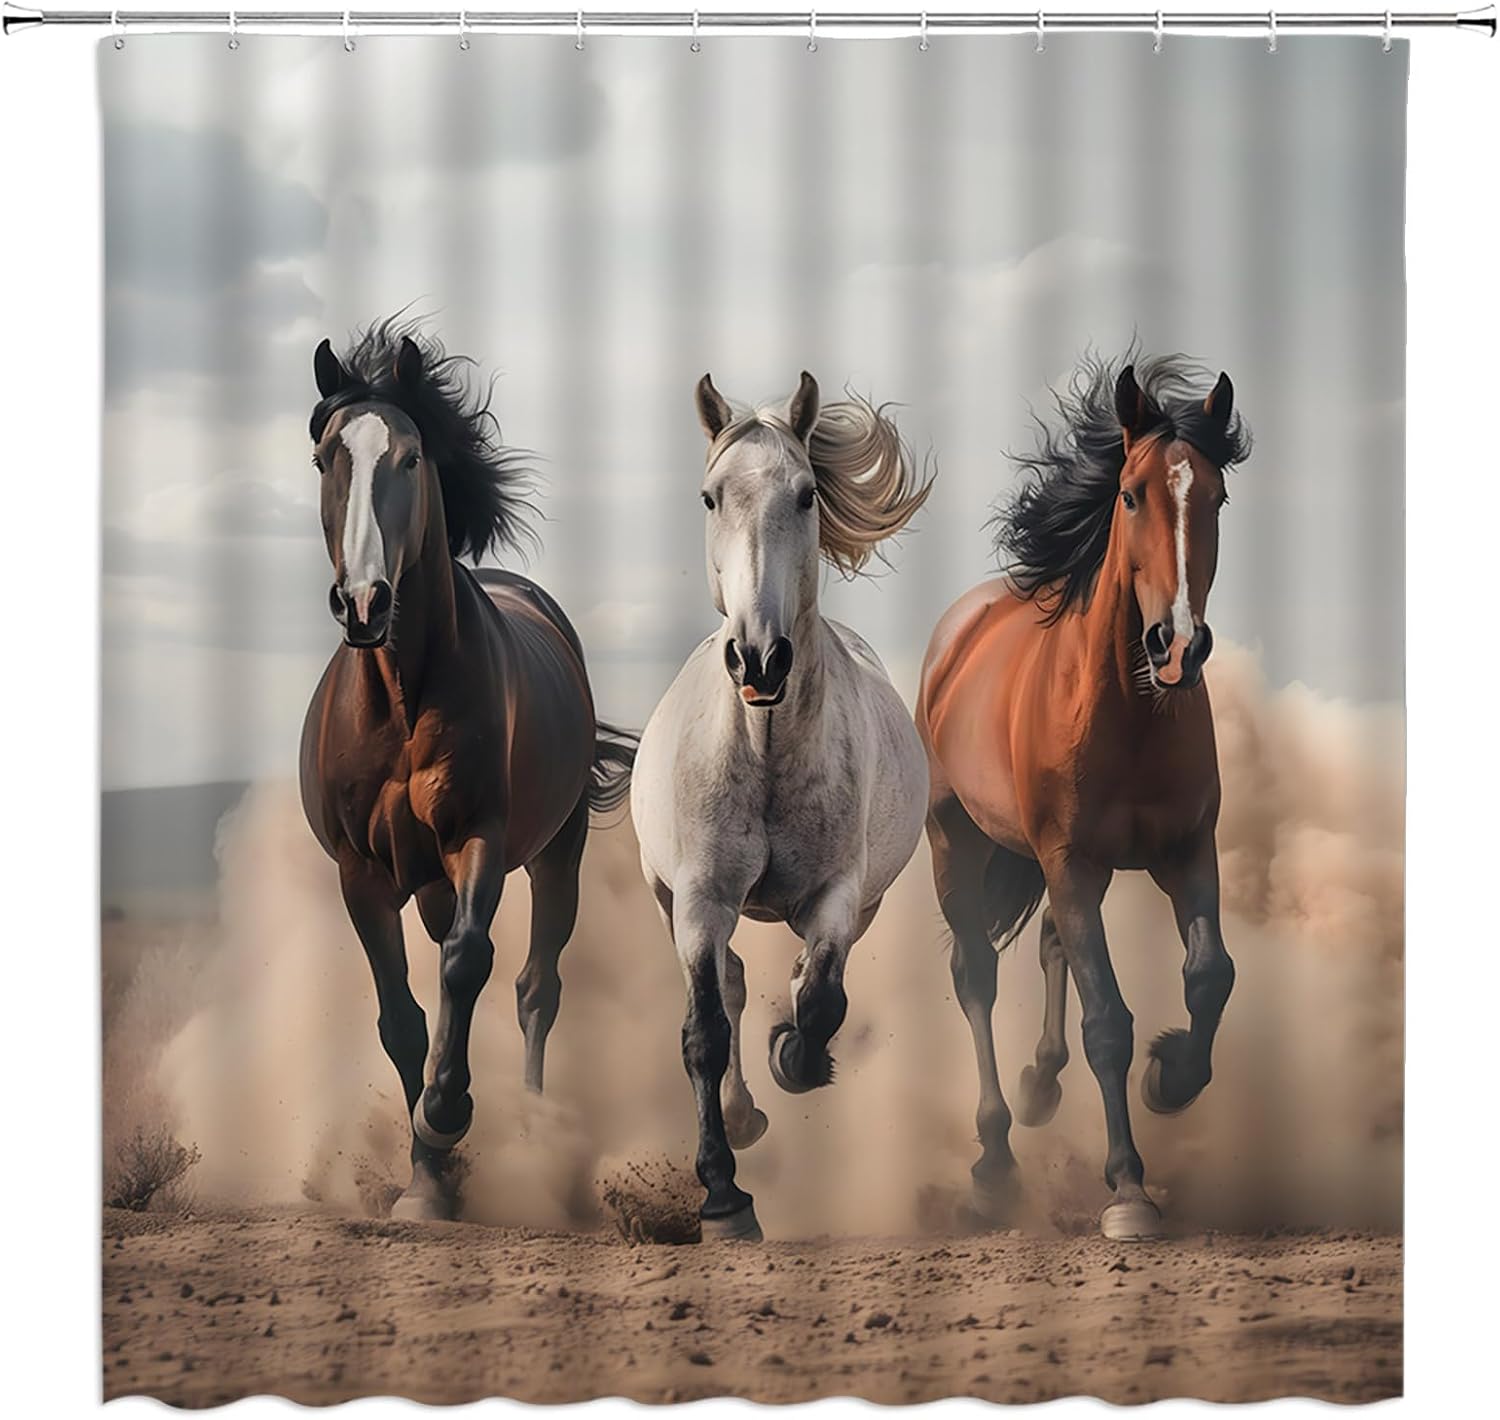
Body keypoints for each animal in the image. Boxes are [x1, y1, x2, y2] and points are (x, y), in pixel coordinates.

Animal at [299, 319, 635, 1221]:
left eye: (412, 456)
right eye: (326, 456)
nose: (364, 602)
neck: (402, 699)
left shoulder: (476, 837)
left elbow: (466, 962)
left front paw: (446, 1117)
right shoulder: (361, 873)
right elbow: (401, 1018)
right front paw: (426, 1180)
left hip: (556, 858)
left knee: (534, 987)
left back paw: (529, 1129)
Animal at [631, 372, 933, 1242]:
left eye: (805, 494)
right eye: (709, 497)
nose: (760, 658)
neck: (764, 754)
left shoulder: (837, 895)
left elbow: (822, 1002)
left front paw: (792, 1050)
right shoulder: (699, 899)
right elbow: (704, 1029)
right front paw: (724, 1196)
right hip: (668, 897)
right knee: (728, 982)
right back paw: (741, 1117)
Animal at [917, 351, 1251, 1241]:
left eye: (1216, 496)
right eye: (1130, 493)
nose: (1178, 644)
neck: (1128, 710)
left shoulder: (1186, 853)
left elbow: (1211, 976)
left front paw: (1171, 1076)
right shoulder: (1066, 860)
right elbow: (1107, 1020)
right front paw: (1129, 1189)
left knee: (1050, 948)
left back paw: (1041, 1086)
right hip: (957, 841)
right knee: (974, 975)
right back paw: (994, 1165)